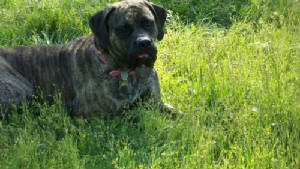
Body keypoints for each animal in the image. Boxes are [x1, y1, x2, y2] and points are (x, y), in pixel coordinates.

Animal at [0, 0, 178, 116]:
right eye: (123, 29)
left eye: (148, 22)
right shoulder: (96, 113)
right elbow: (133, 114)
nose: (144, 42)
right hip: (22, 90)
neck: (129, 72)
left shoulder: (157, 103)